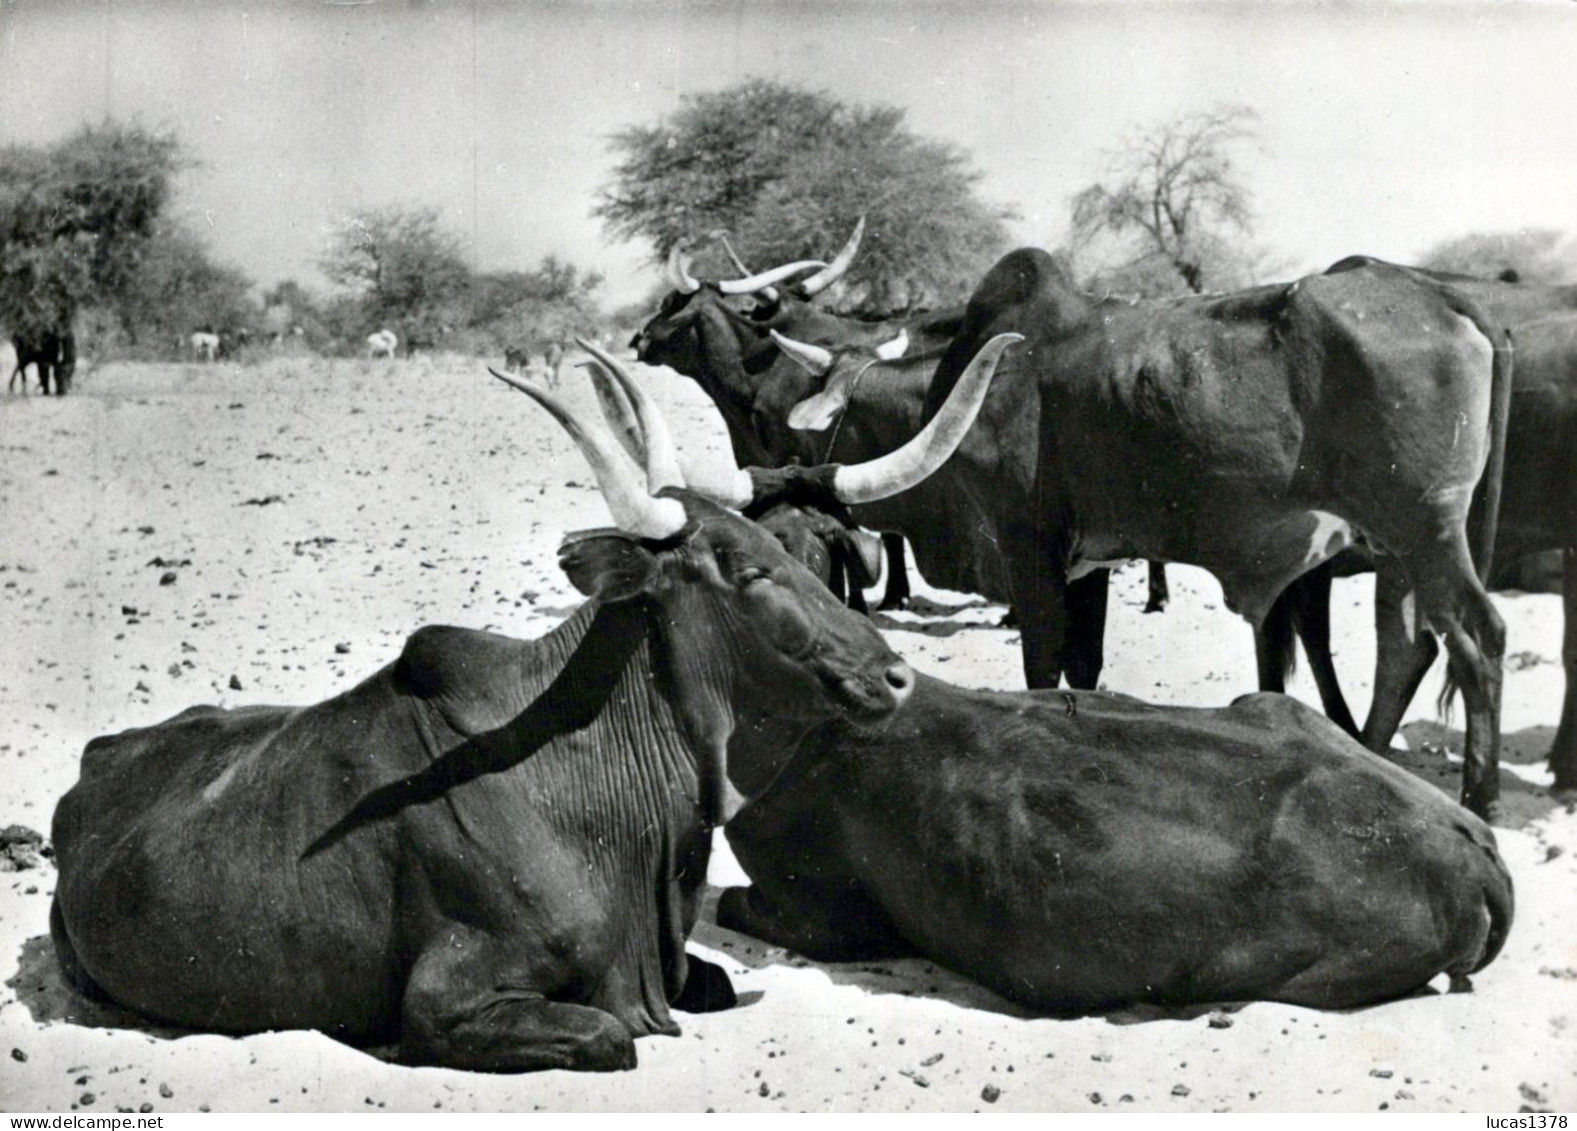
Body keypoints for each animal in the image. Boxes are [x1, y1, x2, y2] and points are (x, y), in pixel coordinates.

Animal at [52, 331, 1009, 1072]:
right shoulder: (452, 999)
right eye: (745, 567)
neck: (592, 782)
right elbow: (608, 1036)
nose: (895, 676)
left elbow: (712, 983)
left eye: (813, 550)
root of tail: (97, 759)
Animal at [914, 247, 1513, 813]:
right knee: (1405, 650)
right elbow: (1083, 663)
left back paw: (1478, 798)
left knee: (1479, 638)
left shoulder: (1028, 541)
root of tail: (1442, 295)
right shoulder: (1089, 560)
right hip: (1397, 544)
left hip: (1427, 528)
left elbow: (1041, 664)